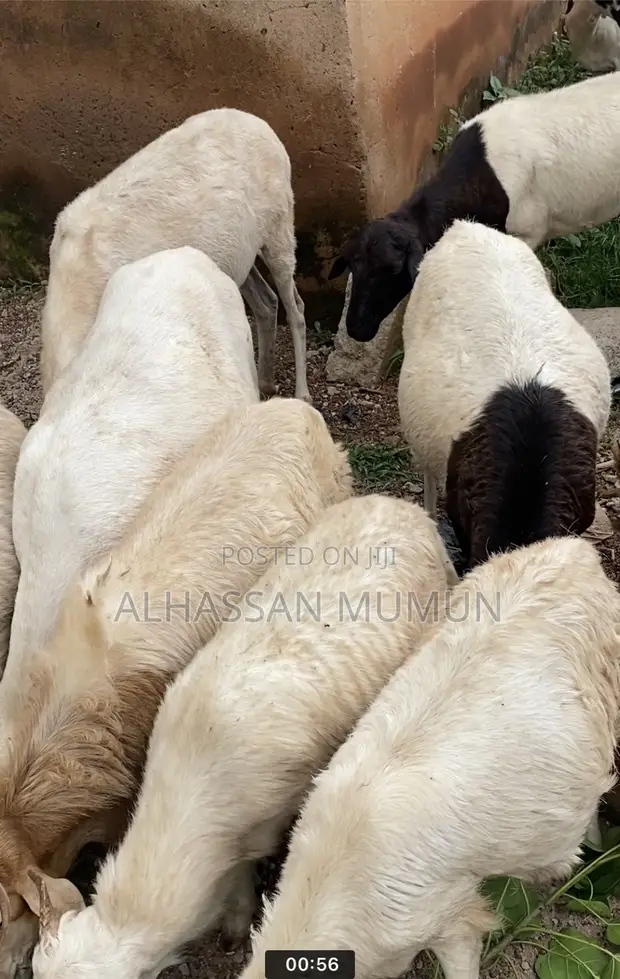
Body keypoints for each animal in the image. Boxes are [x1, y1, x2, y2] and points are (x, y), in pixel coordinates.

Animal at [39, 107, 310, 401]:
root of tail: (258, 122)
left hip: (280, 229)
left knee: (295, 308)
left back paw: (302, 392)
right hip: (239, 255)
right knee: (267, 302)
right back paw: (265, 382)